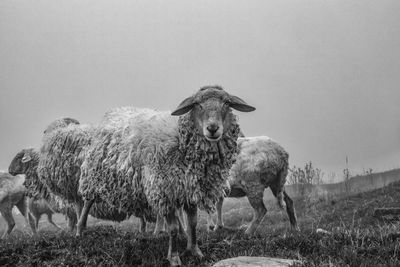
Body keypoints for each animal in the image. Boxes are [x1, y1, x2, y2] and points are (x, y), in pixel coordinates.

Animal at [77, 86, 256, 266]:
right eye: (197, 104)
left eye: (226, 103)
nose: (212, 128)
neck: (181, 142)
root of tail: (114, 111)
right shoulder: (166, 191)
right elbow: (172, 229)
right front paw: (175, 257)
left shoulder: (190, 190)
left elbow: (192, 223)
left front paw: (194, 250)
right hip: (93, 176)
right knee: (87, 202)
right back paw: (80, 230)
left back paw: (184, 235)